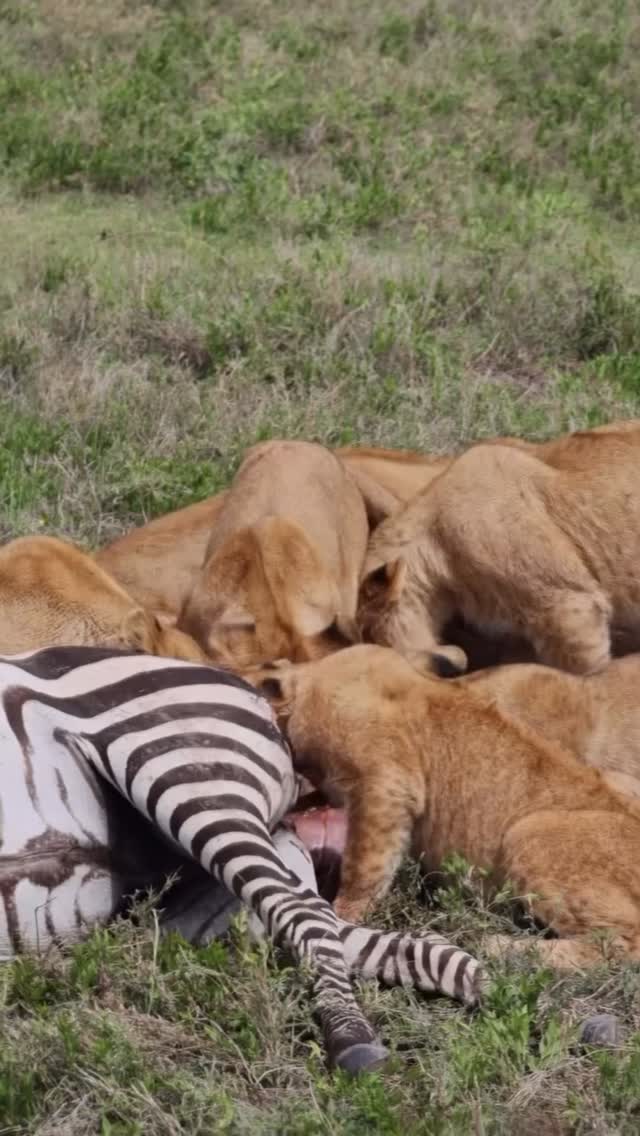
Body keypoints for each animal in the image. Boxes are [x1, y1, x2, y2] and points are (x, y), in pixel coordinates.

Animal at [0, 645, 485, 1073]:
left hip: (179, 760)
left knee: (301, 907)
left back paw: (352, 1040)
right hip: (191, 919)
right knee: (383, 939)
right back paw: (487, 989)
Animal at [252, 645, 640, 970]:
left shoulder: (387, 782)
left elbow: (364, 866)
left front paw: (341, 918)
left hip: (529, 835)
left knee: (624, 944)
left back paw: (501, 947)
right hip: (617, 778)